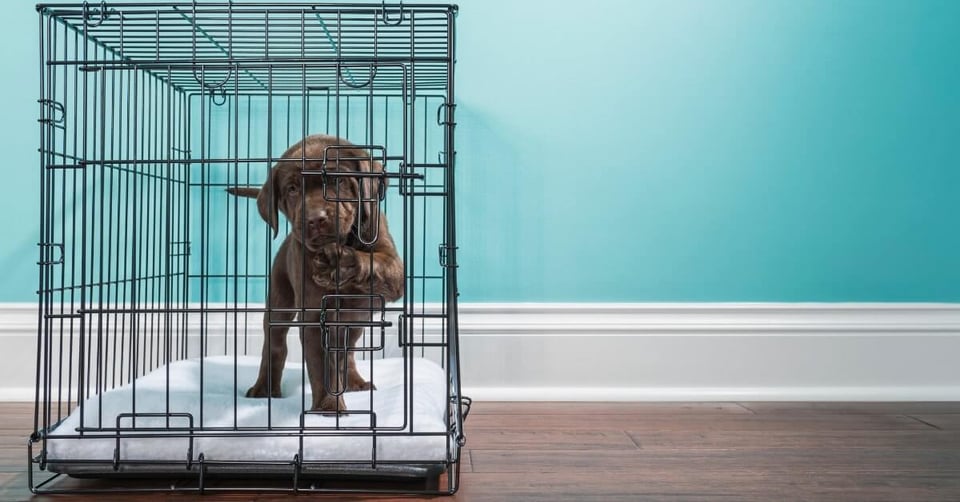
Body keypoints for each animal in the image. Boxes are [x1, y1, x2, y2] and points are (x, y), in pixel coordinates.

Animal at [230, 134, 404, 412]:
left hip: (358, 319)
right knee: (275, 343)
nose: (315, 218)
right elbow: (321, 367)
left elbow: (376, 263)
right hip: (279, 297)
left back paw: (354, 380)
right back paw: (264, 388)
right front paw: (327, 407)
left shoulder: (393, 269)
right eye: (292, 189)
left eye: (337, 180)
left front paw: (341, 263)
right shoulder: (313, 316)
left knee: (348, 351)